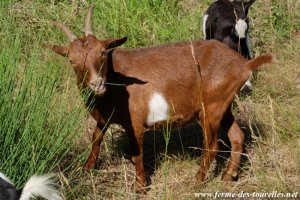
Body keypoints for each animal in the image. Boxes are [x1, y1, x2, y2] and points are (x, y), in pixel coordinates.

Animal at [43, 6, 276, 194]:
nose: (97, 84)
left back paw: (197, 181)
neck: (115, 81)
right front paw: (87, 169)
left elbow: (137, 153)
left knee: (212, 147)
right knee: (237, 136)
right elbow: (96, 139)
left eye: (102, 52)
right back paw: (227, 177)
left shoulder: (135, 122)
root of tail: (244, 64)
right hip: (222, 106)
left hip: (210, 109)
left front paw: (140, 188)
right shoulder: (104, 118)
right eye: (71, 61)